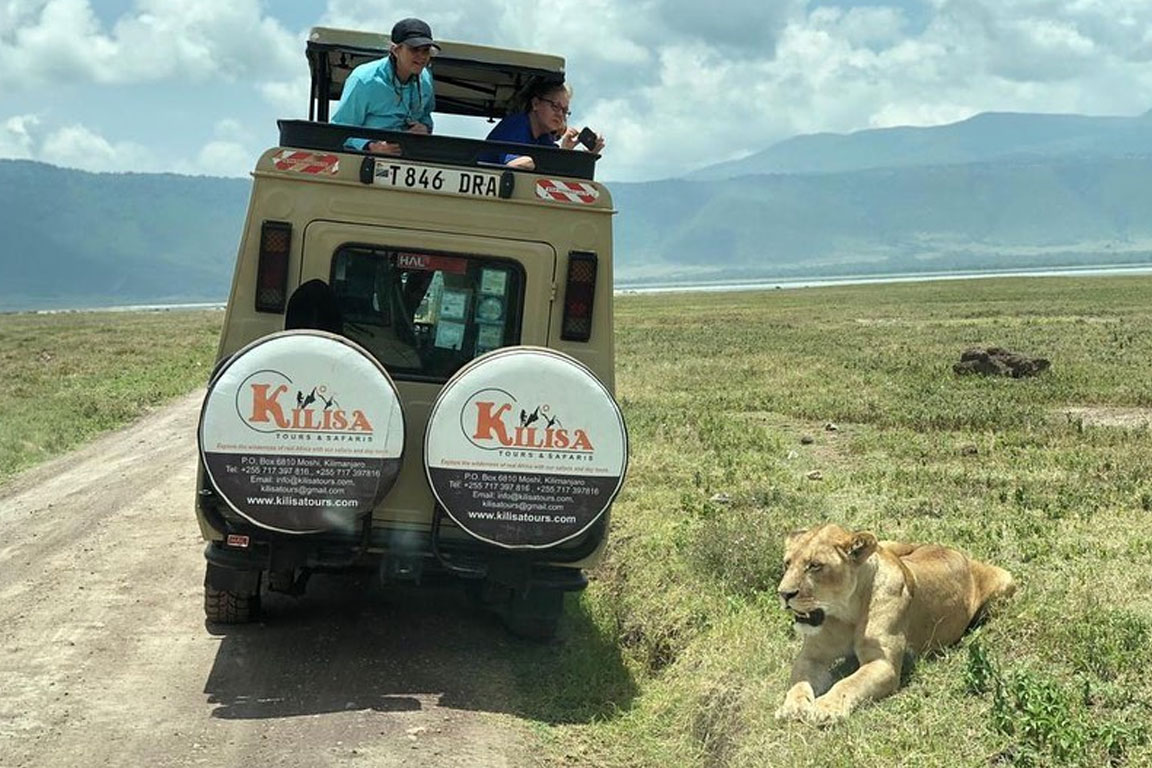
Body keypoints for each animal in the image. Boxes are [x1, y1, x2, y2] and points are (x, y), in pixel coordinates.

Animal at [774, 523, 1015, 725]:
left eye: (815, 566)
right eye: (787, 563)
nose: (784, 593)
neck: (846, 613)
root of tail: (954, 551)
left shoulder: (882, 663)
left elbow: (847, 683)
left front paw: (825, 707)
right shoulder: (812, 656)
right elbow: (799, 683)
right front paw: (792, 707)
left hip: (1006, 580)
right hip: (886, 543)